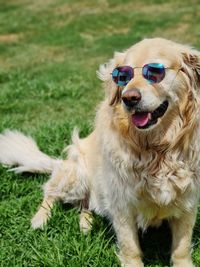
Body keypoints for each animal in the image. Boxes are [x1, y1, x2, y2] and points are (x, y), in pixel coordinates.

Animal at [0, 38, 200, 267]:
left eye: (155, 72)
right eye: (123, 77)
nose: (129, 98)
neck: (157, 150)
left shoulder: (188, 201)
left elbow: (181, 247)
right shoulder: (121, 203)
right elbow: (130, 247)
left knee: (85, 204)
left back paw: (86, 225)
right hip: (76, 174)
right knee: (50, 192)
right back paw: (39, 220)